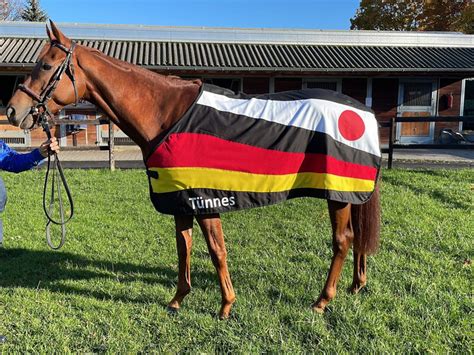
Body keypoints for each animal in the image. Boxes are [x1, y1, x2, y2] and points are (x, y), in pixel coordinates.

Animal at [6, 22, 382, 320]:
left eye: (44, 65)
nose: (13, 111)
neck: (166, 115)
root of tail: (363, 111)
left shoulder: (204, 200)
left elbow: (216, 251)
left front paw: (226, 305)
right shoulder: (180, 200)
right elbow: (183, 247)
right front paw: (177, 299)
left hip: (338, 195)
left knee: (342, 241)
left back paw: (322, 301)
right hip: (350, 193)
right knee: (357, 239)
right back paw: (356, 285)